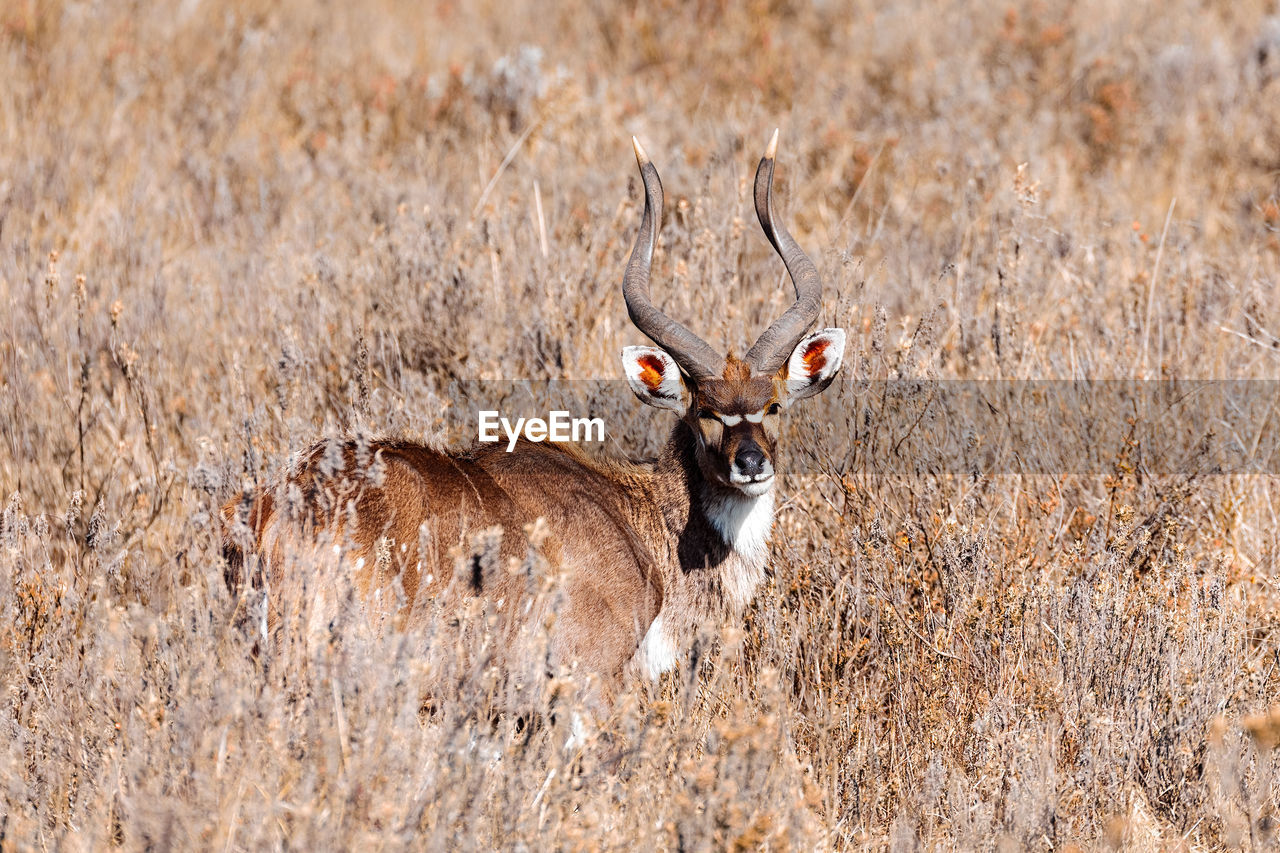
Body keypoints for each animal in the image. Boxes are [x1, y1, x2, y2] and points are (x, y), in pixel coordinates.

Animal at [225, 129, 844, 706]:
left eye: (773, 405)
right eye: (705, 413)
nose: (751, 462)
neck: (641, 520)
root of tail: (277, 510)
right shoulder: (584, 680)